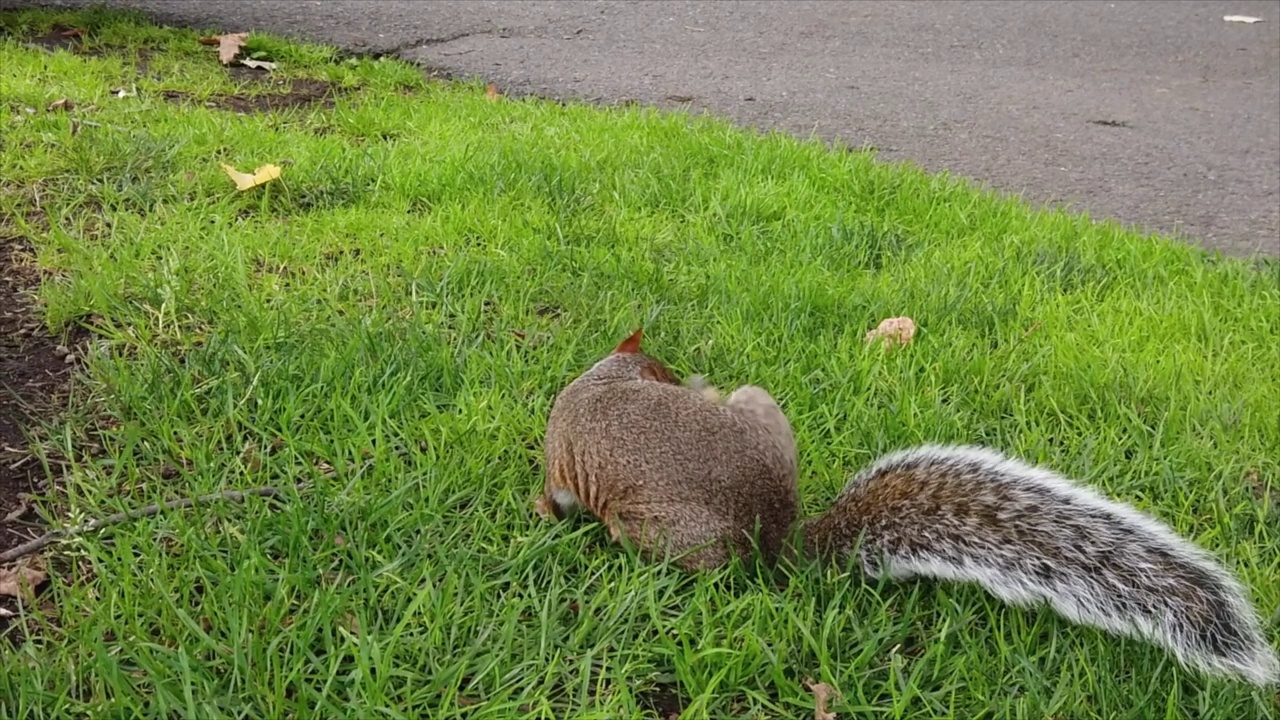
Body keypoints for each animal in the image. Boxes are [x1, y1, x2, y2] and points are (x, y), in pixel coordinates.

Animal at [535, 326, 1280, 681]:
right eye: (661, 367)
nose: (689, 378)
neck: (610, 379)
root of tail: (779, 537)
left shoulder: (562, 459)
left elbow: (556, 492)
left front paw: (543, 514)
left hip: (651, 530)